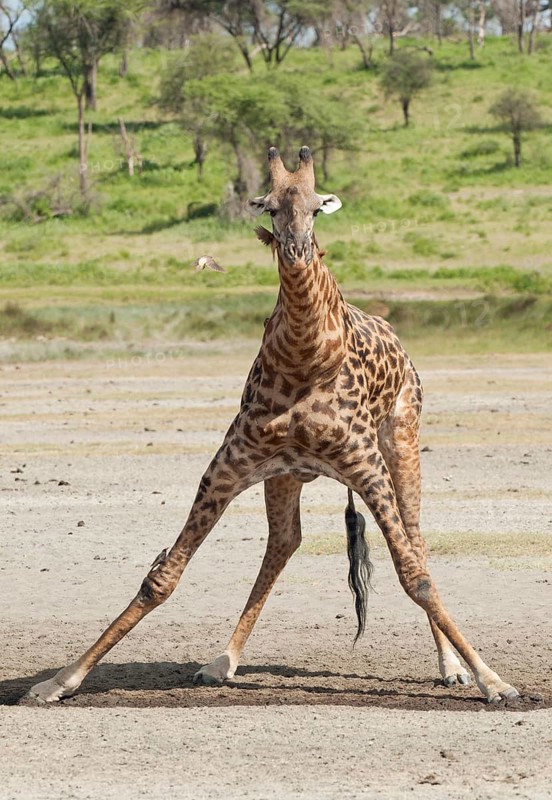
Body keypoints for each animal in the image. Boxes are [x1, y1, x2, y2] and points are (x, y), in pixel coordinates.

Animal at [25, 146, 519, 705]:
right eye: (270, 206)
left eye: (317, 206)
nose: (298, 247)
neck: (305, 358)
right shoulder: (228, 465)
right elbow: (162, 577)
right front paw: (59, 680)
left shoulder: (366, 465)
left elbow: (416, 577)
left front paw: (492, 680)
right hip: (284, 475)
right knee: (284, 542)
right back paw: (223, 660)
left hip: (402, 441)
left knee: (416, 541)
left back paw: (450, 667)